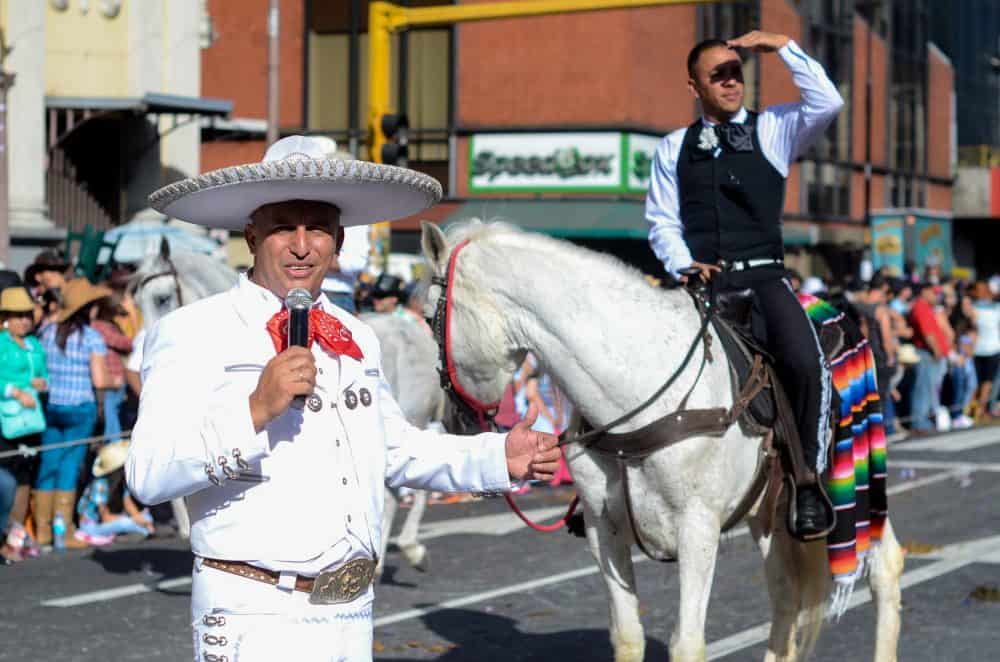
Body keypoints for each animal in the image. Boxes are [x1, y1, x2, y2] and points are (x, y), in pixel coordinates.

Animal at [418, 222, 904, 662]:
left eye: (426, 318)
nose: (456, 423)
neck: (639, 387)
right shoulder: (604, 531)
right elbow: (628, 636)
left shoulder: (698, 530)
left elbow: (687, 644)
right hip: (768, 510)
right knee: (784, 594)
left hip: (855, 487)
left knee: (884, 568)